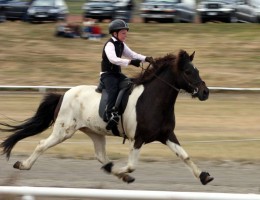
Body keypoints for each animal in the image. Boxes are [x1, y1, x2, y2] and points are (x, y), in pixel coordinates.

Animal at [0, 50, 213, 186]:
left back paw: (113, 170)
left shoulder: (167, 135)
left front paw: (204, 176)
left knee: (101, 156)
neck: (153, 99)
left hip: (95, 132)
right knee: (42, 144)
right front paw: (122, 171)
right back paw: (23, 165)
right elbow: (131, 165)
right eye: (188, 71)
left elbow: (184, 156)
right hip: (63, 130)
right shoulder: (138, 139)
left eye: (197, 70)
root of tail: (63, 94)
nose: (205, 92)